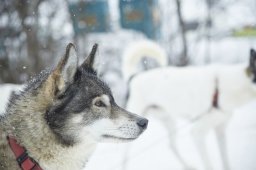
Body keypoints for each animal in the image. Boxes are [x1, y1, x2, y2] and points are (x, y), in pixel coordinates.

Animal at [123, 46, 256, 170]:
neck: (220, 88)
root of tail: (134, 77)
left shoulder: (220, 130)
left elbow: (225, 160)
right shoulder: (197, 133)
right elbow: (208, 164)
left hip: (170, 121)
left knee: (172, 145)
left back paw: (187, 165)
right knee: (125, 154)